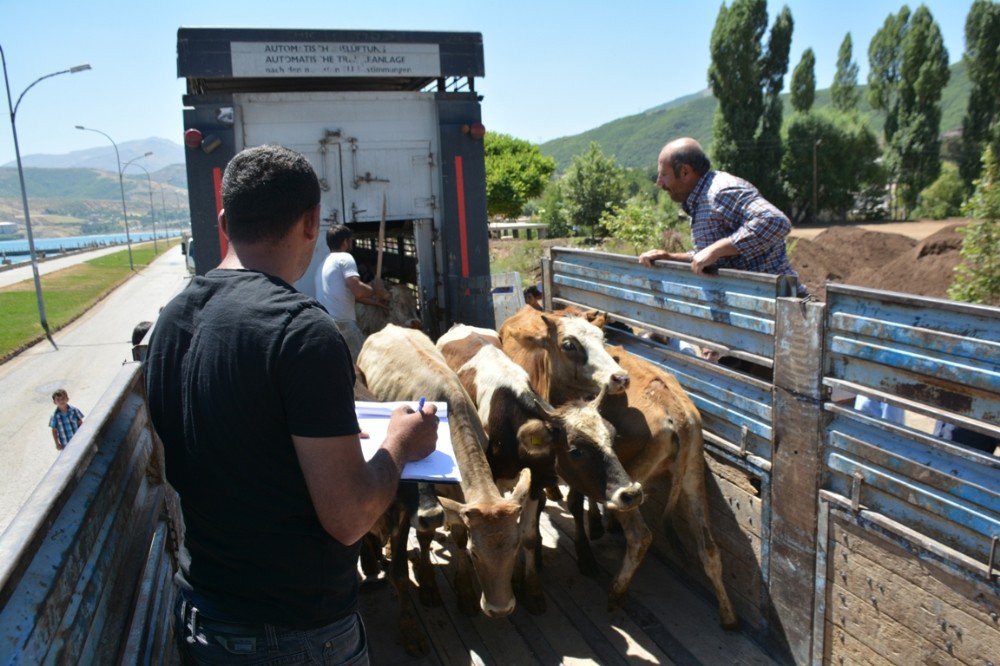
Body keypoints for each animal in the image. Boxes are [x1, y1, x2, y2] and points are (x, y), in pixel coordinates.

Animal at [358, 324, 532, 620]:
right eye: (476, 554)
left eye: (516, 545)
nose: (500, 610)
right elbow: (426, 536)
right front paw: (432, 586)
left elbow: (458, 533)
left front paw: (464, 590)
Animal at [436, 322, 640, 612]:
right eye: (575, 451)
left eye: (613, 437)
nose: (631, 493)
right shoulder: (493, 480)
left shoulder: (535, 480)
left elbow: (528, 535)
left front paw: (530, 587)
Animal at [504, 306, 740, 628]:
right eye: (569, 345)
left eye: (602, 338)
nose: (619, 377)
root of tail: (676, 409)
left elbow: (571, 502)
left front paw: (581, 552)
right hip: (693, 477)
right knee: (709, 548)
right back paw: (728, 616)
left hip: (631, 487)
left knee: (640, 537)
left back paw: (616, 592)